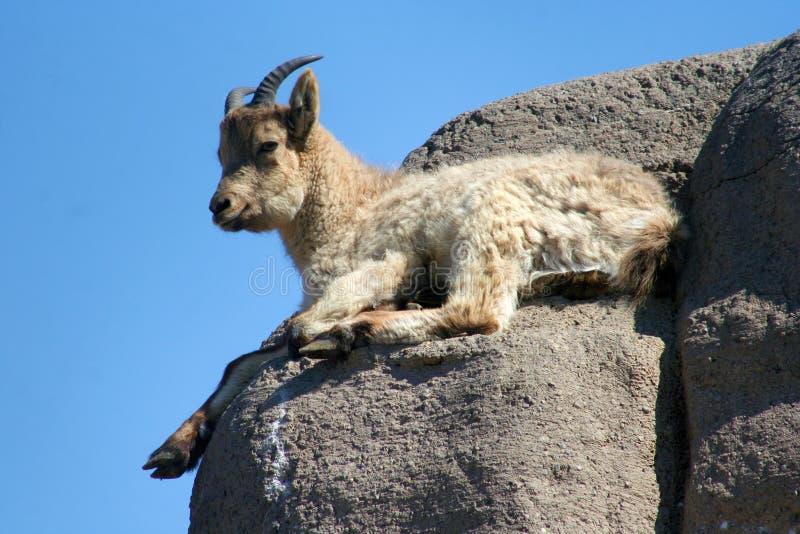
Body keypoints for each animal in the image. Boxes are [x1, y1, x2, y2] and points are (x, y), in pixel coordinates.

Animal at [142, 56, 680, 480]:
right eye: (219, 153)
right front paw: (171, 452)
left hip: (490, 218)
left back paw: (353, 330)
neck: (352, 210)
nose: (221, 206)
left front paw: (345, 324)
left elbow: (297, 330)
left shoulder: (390, 256)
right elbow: (243, 360)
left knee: (476, 311)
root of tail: (659, 218)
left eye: (268, 145)